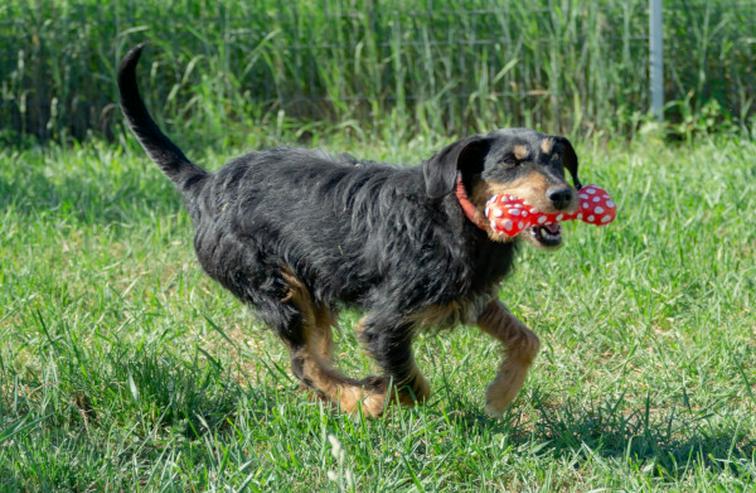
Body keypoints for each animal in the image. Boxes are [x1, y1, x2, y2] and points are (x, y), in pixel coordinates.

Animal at [118, 45, 580, 416]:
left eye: (556, 159)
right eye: (509, 162)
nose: (562, 194)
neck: (456, 216)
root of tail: (204, 183)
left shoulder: (469, 296)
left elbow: (526, 339)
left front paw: (501, 394)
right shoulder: (387, 321)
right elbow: (410, 384)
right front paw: (378, 399)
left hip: (311, 295)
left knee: (312, 361)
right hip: (275, 289)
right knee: (305, 363)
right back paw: (358, 399)